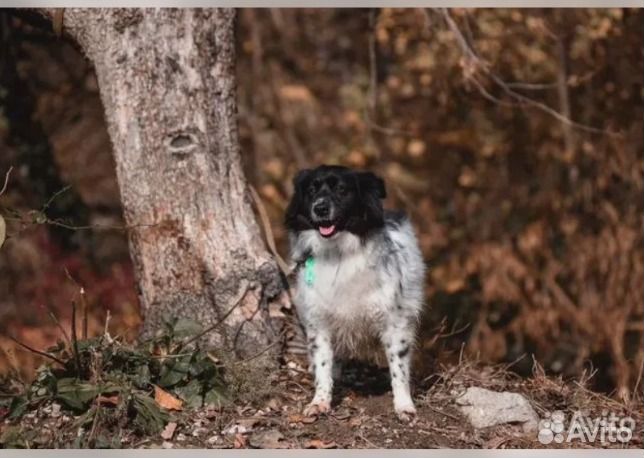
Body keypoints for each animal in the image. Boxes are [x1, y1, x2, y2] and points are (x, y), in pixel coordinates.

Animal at [284, 164, 426, 418]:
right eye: (311, 190)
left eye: (342, 189)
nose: (320, 208)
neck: (337, 253)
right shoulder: (319, 323)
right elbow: (322, 365)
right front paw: (320, 401)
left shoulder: (396, 323)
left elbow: (398, 368)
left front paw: (403, 404)